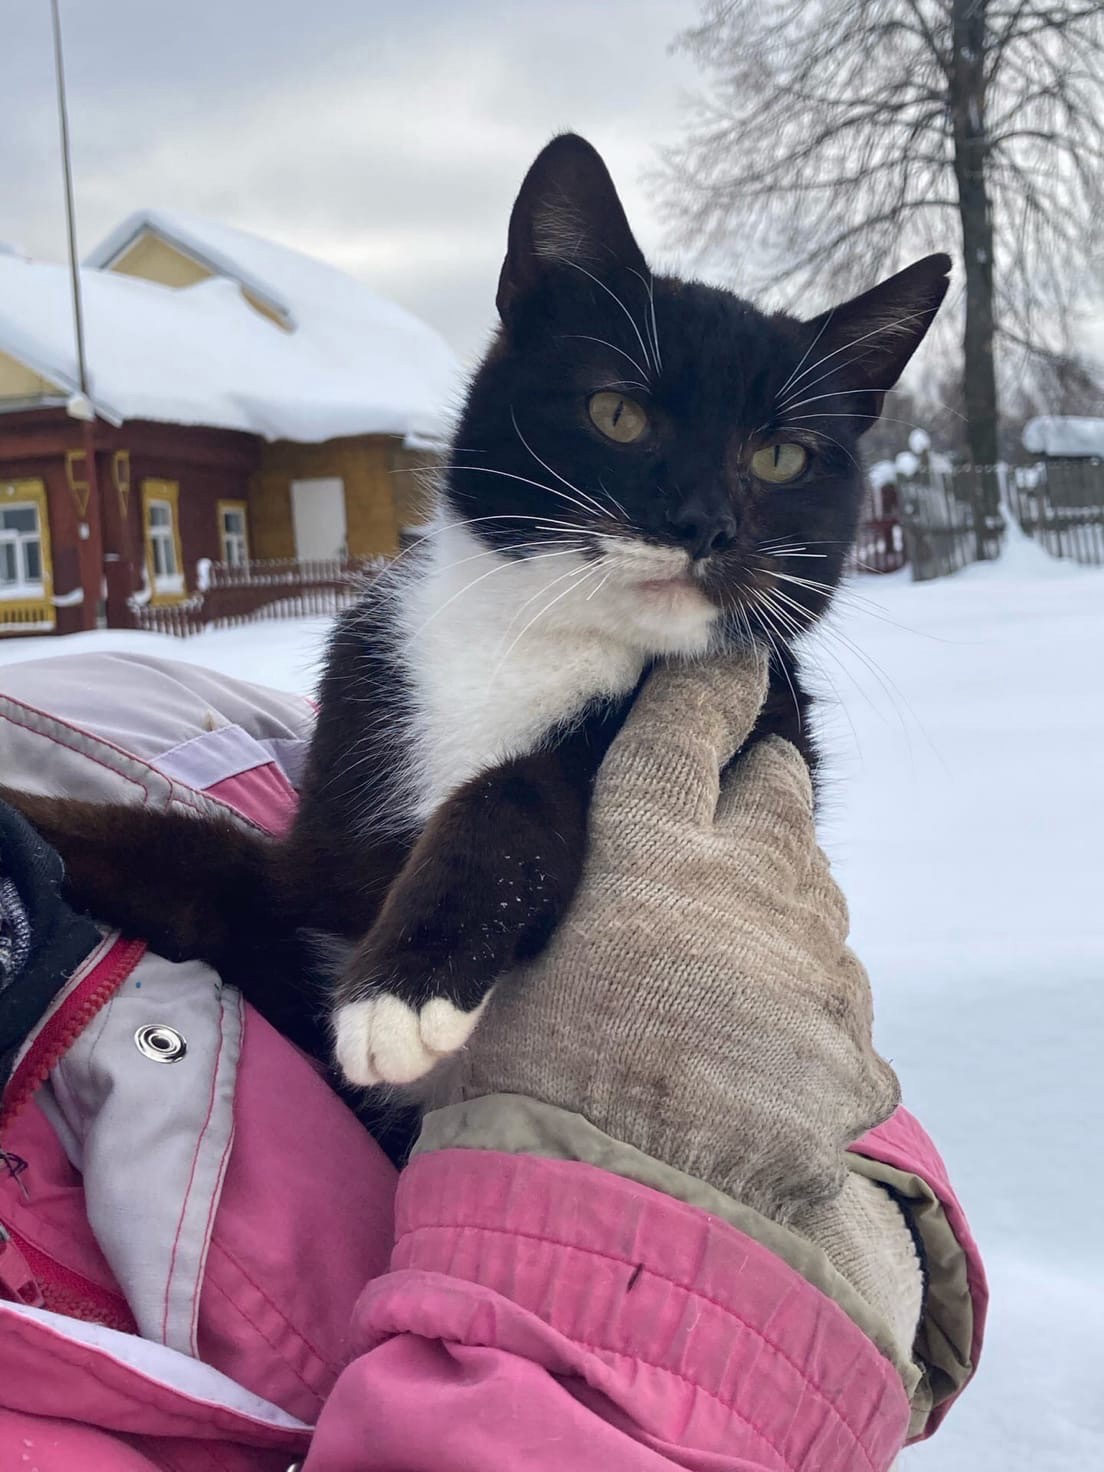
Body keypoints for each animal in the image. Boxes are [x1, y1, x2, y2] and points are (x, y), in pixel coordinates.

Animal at [2, 135, 953, 1106]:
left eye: (782, 457)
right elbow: (182, 858)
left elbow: (527, 781)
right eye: (617, 412)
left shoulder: (767, 723)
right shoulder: (313, 865)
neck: (534, 634)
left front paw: (405, 986)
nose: (705, 523)